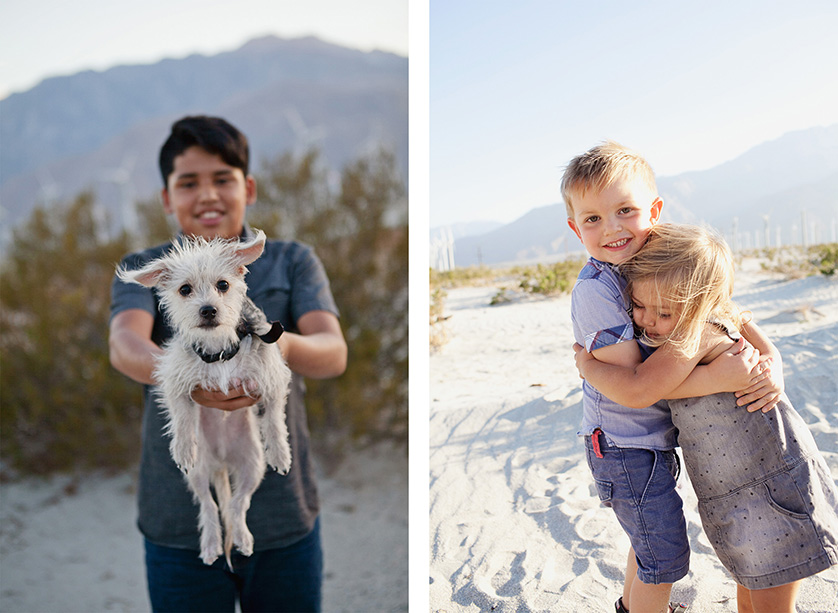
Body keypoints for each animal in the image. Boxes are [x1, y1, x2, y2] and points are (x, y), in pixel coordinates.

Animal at [116, 230, 290, 564]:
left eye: (223, 285)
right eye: (185, 289)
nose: (208, 310)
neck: (219, 350)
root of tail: (222, 461)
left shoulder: (272, 378)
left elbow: (275, 421)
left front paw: (281, 453)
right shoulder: (176, 383)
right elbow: (183, 419)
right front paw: (184, 448)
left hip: (252, 467)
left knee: (237, 504)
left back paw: (243, 538)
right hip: (198, 474)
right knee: (209, 505)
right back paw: (211, 544)